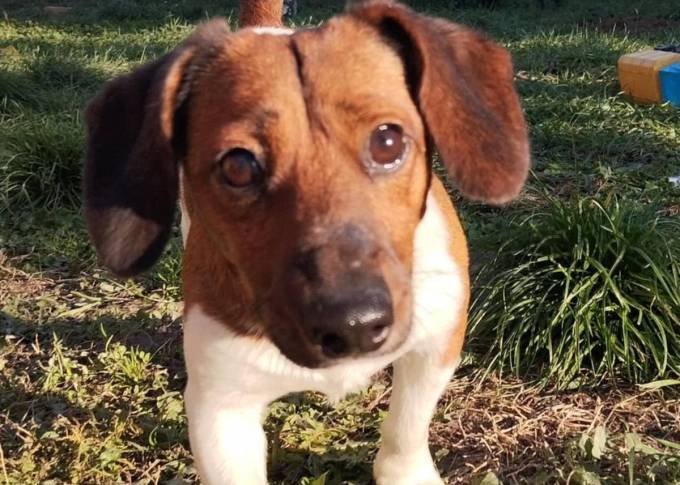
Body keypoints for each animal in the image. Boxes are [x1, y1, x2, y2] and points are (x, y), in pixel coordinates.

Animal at [82, 1, 529, 483]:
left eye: (387, 140)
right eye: (238, 166)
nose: (353, 325)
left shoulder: (436, 343)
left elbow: (406, 429)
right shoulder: (221, 411)